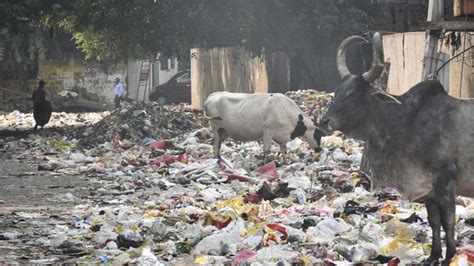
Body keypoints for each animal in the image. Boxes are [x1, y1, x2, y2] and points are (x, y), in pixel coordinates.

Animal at [320, 32, 474, 262]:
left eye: (353, 94)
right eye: (337, 92)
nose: (324, 121)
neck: (404, 120)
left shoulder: (445, 183)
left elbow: (448, 223)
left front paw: (448, 258)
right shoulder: (427, 189)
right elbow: (434, 222)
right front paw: (433, 256)